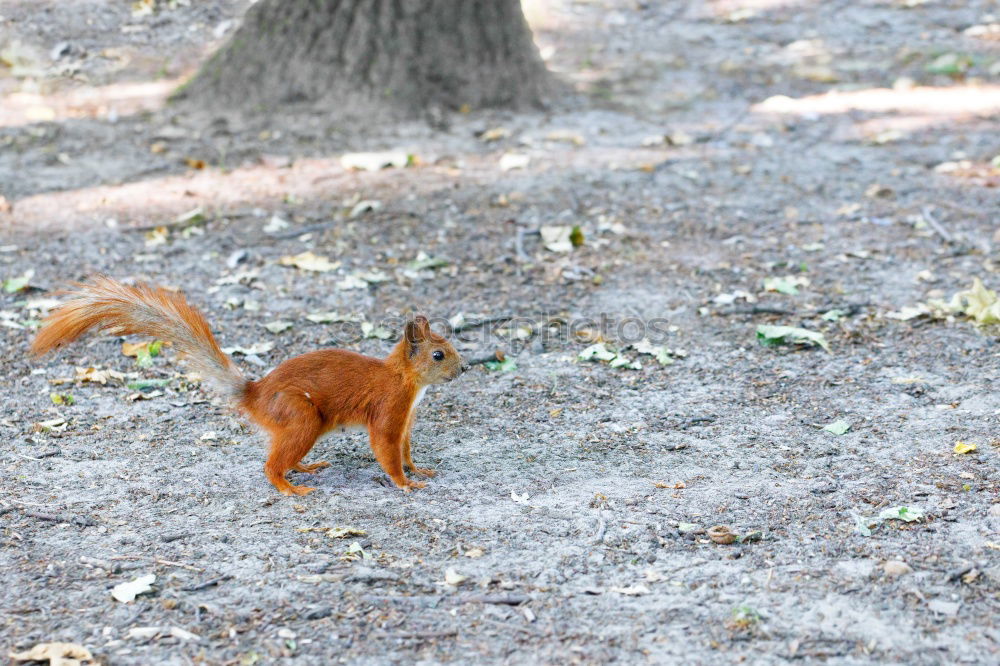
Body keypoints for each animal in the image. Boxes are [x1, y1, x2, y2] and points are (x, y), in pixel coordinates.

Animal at [31, 274, 466, 492]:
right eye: (438, 355)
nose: (464, 369)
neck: (406, 381)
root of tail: (255, 395)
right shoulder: (389, 410)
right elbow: (387, 451)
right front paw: (406, 484)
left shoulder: (406, 420)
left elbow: (405, 449)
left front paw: (420, 471)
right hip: (301, 416)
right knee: (271, 465)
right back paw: (290, 489)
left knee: (284, 454)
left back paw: (305, 468)